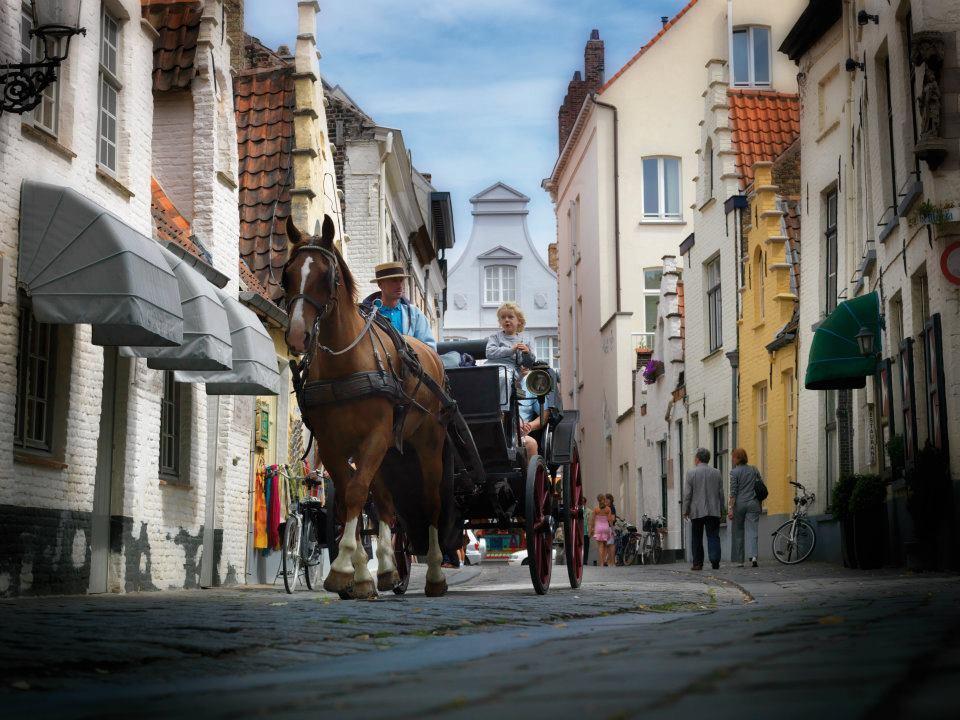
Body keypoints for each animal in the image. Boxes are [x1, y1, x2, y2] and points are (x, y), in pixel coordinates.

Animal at [284, 214, 452, 596]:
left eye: (326, 277)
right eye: (287, 273)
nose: (298, 336)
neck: (345, 363)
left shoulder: (374, 437)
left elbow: (358, 492)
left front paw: (343, 567)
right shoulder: (332, 444)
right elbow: (351, 498)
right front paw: (358, 575)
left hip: (428, 444)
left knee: (432, 502)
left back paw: (435, 575)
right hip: (389, 453)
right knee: (387, 504)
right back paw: (389, 569)